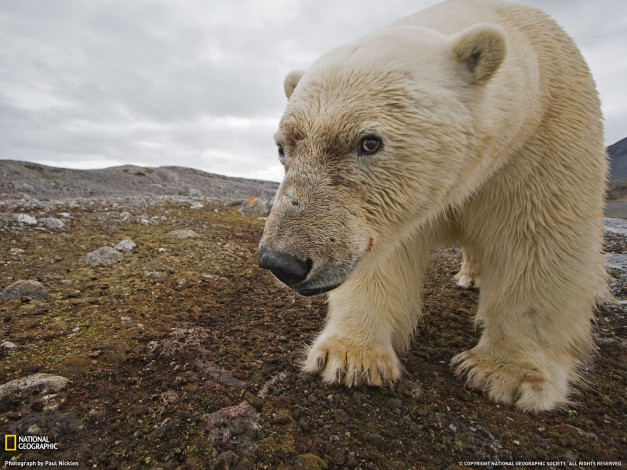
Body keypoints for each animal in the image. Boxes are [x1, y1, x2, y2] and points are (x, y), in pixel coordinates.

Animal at [256, 0, 608, 412]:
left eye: (369, 142)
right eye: (283, 147)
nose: (282, 262)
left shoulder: (542, 142)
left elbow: (539, 242)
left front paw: (506, 374)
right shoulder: (394, 211)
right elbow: (386, 257)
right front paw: (350, 357)